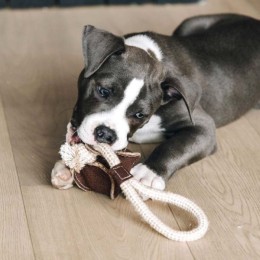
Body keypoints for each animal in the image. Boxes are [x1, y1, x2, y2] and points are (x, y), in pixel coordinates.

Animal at [51, 14, 260, 192]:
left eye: (140, 115)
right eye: (103, 91)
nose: (107, 134)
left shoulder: (204, 127)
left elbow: (176, 145)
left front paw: (148, 173)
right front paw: (66, 166)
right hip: (189, 24)